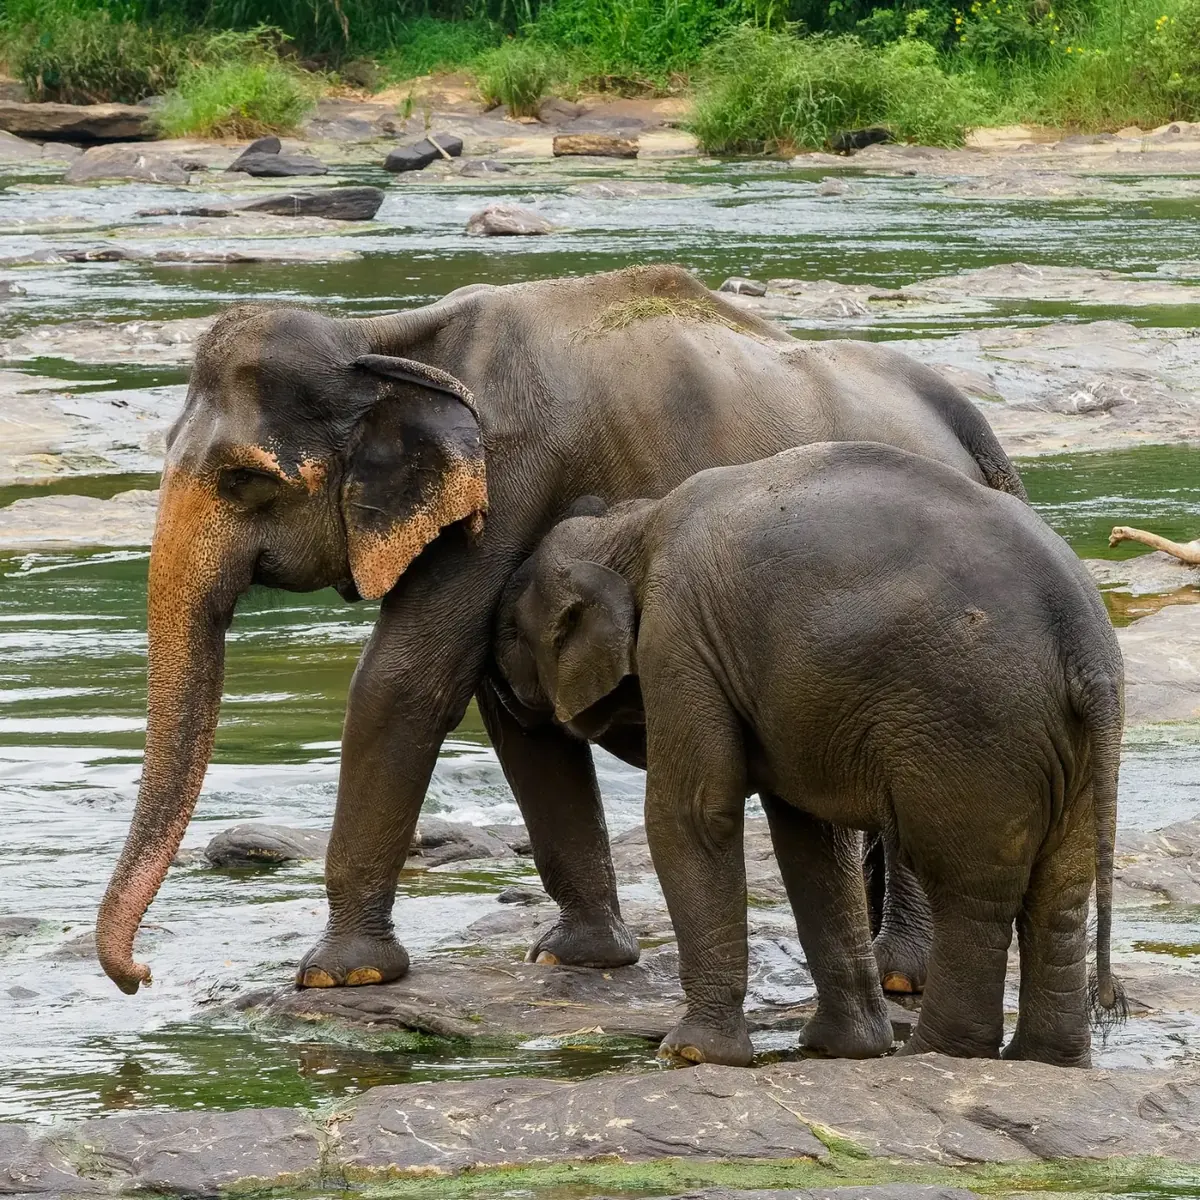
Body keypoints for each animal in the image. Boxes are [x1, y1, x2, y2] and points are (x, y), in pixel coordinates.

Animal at [94, 264, 1028, 1000]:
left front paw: (336, 974)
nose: (140, 977)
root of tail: (975, 431)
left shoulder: (511, 478)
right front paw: (577, 959)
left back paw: (901, 973)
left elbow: (407, 679)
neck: (390, 339)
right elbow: (513, 705)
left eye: (243, 480)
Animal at [493, 442, 1124, 1068]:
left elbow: (695, 813)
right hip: (1068, 748)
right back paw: (1046, 1061)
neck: (631, 526)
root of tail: (1087, 647)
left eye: (513, 630)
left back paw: (937, 1054)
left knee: (970, 893)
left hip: (974, 729)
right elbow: (812, 835)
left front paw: (691, 1055)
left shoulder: (679, 638)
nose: (497, 681)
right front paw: (841, 1048)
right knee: (1060, 896)